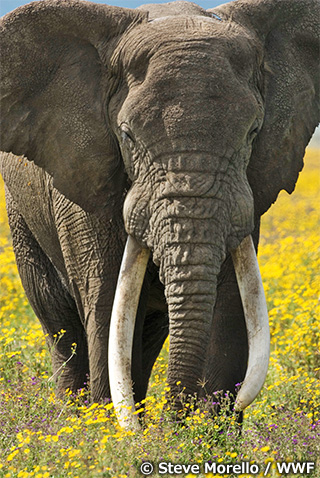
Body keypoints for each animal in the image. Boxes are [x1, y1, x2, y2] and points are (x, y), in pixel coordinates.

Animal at [0, 0, 318, 430]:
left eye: (253, 133)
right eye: (127, 135)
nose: (173, 419)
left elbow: (233, 304)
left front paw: (205, 433)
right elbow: (106, 302)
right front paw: (120, 433)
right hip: (22, 219)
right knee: (62, 328)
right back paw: (75, 423)